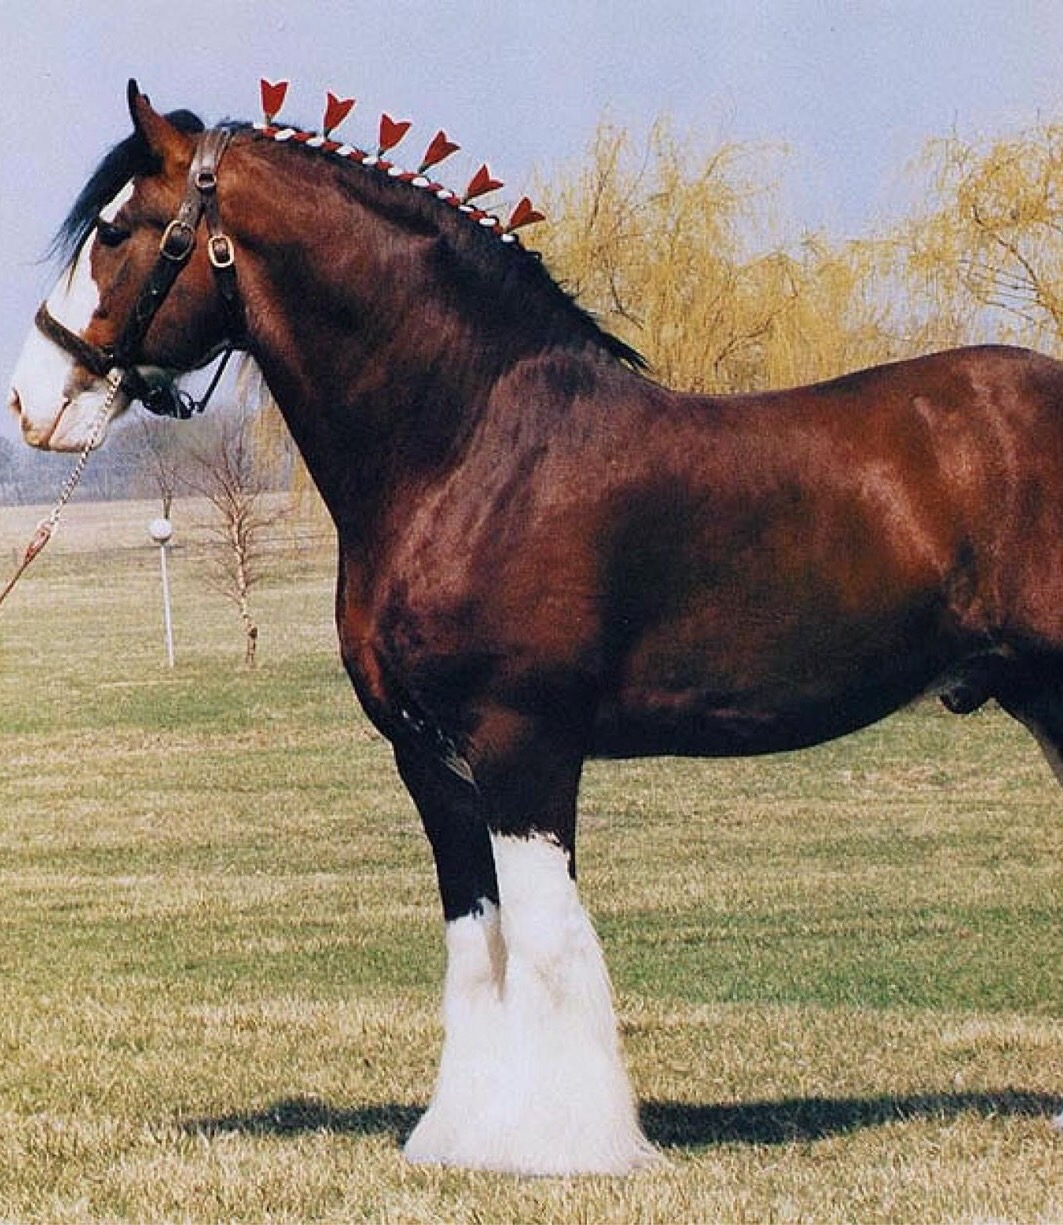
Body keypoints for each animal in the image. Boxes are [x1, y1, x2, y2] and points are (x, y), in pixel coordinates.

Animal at [9, 81, 1063, 1175]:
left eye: (117, 230)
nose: (31, 404)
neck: (471, 444)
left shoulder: (524, 743)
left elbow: (551, 939)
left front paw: (574, 1144)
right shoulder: (430, 760)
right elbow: (478, 941)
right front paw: (464, 1135)